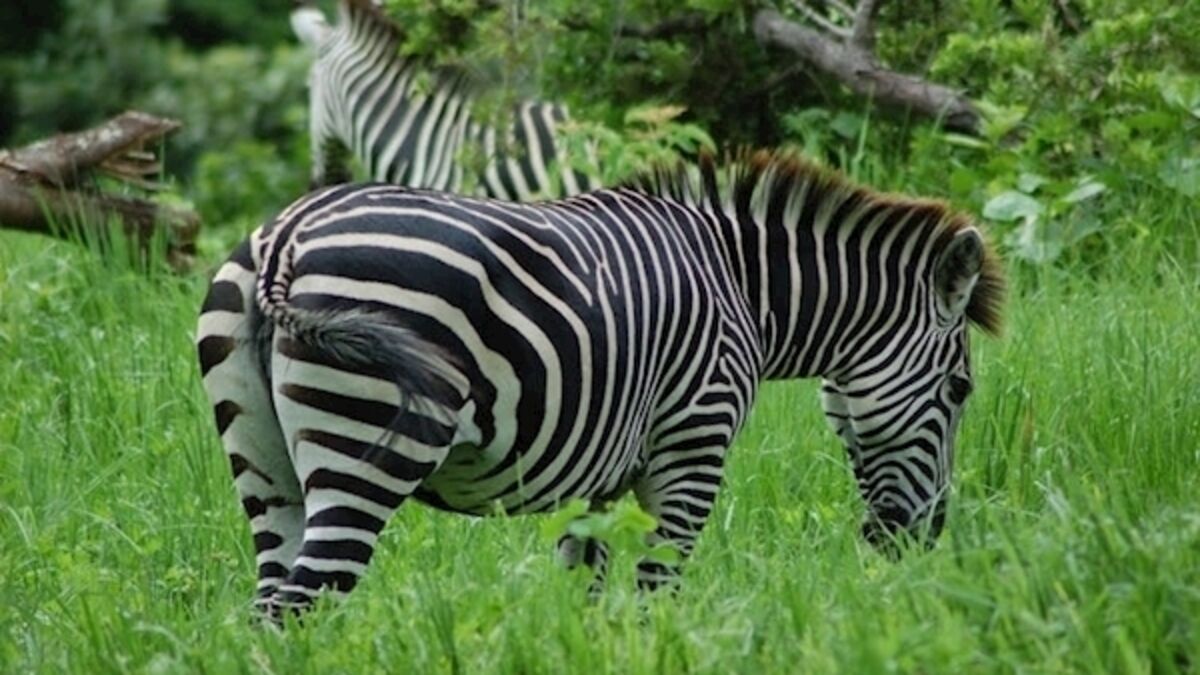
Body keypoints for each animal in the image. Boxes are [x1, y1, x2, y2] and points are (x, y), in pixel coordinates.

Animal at [196, 149, 1004, 615]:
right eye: (959, 391)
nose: (922, 539)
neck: (745, 288)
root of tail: (288, 235)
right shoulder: (693, 445)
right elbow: (658, 589)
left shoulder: (600, 471)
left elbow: (583, 583)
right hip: (364, 449)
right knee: (304, 602)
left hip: (263, 465)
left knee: (269, 605)